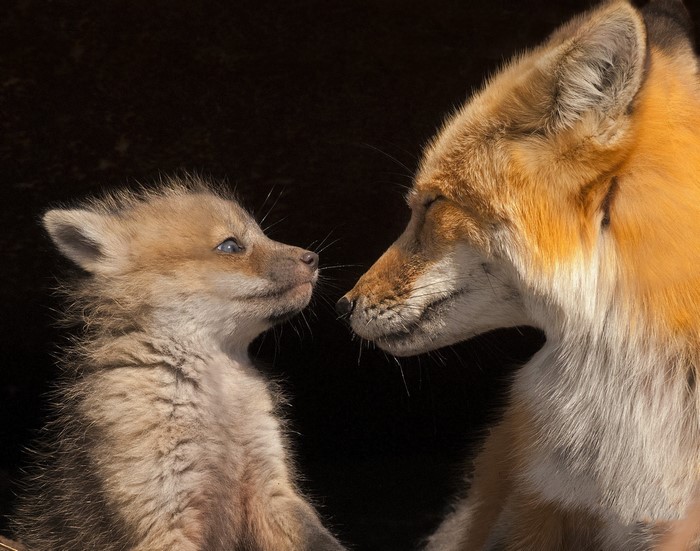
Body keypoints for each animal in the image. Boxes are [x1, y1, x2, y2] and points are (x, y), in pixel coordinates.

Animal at [10, 177, 346, 551]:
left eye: (263, 235)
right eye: (231, 246)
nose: (313, 257)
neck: (219, 396)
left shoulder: (271, 487)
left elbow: (321, 540)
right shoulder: (164, 516)